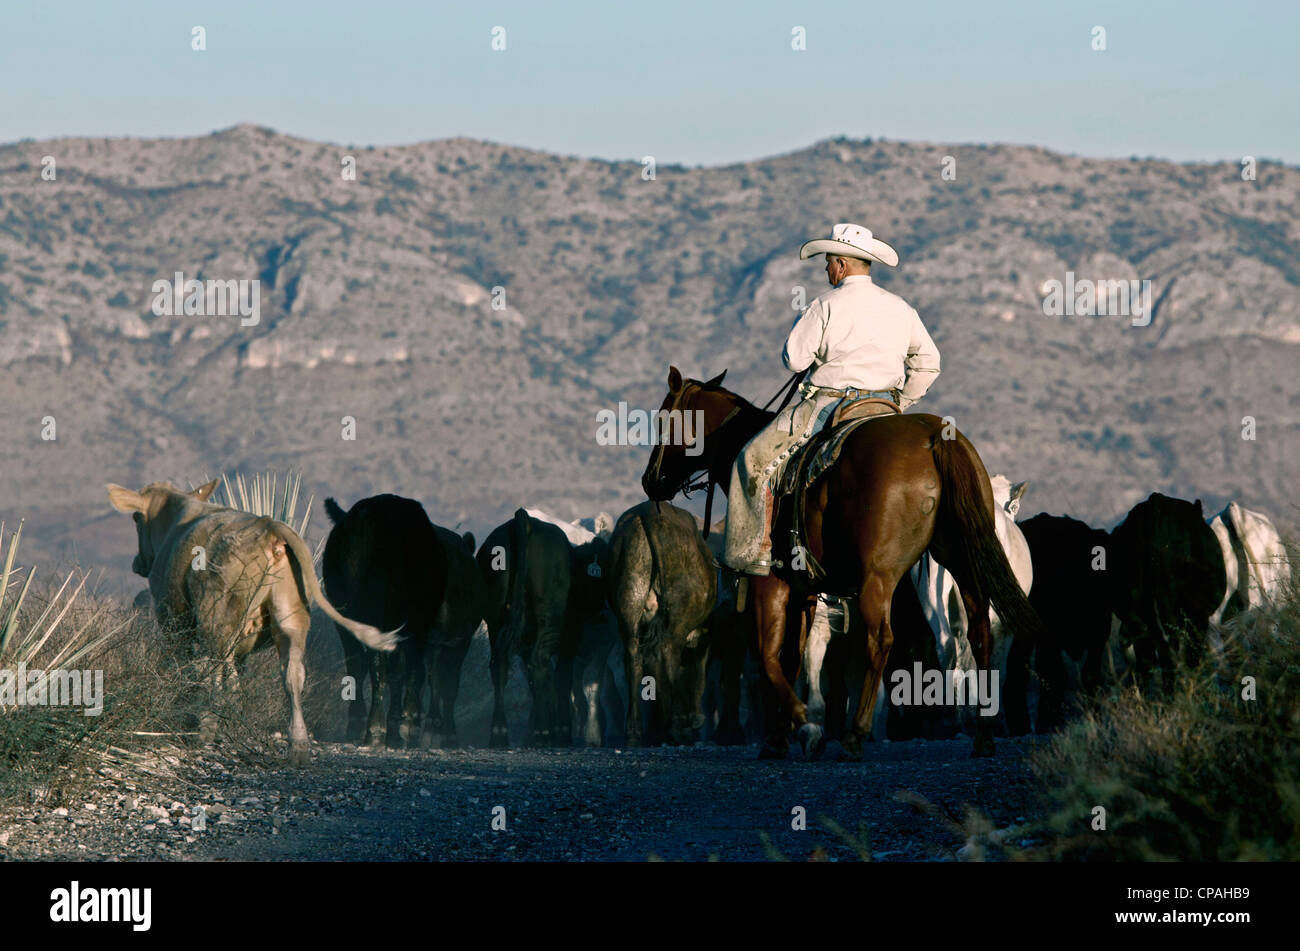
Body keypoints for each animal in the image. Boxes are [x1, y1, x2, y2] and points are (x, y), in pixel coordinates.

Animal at [107, 478, 395, 763]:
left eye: (136, 517)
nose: (137, 563)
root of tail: (269, 527)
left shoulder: (173, 622)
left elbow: (183, 668)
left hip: (218, 619)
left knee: (219, 671)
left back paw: (208, 728)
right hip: (290, 618)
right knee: (292, 675)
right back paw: (297, 745)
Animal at [639, 368, 1034, 763]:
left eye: (663, 418)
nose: (649, 480)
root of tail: (934, 435)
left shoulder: (772, 583)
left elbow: (768, 656)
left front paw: (806, 727)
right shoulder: (805, 590)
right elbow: (793, 658)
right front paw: (781, 736)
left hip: (880, 575)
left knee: (881, 639)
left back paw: (856, 735)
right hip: (961, 559)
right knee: (979, 631)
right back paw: (983, 735)